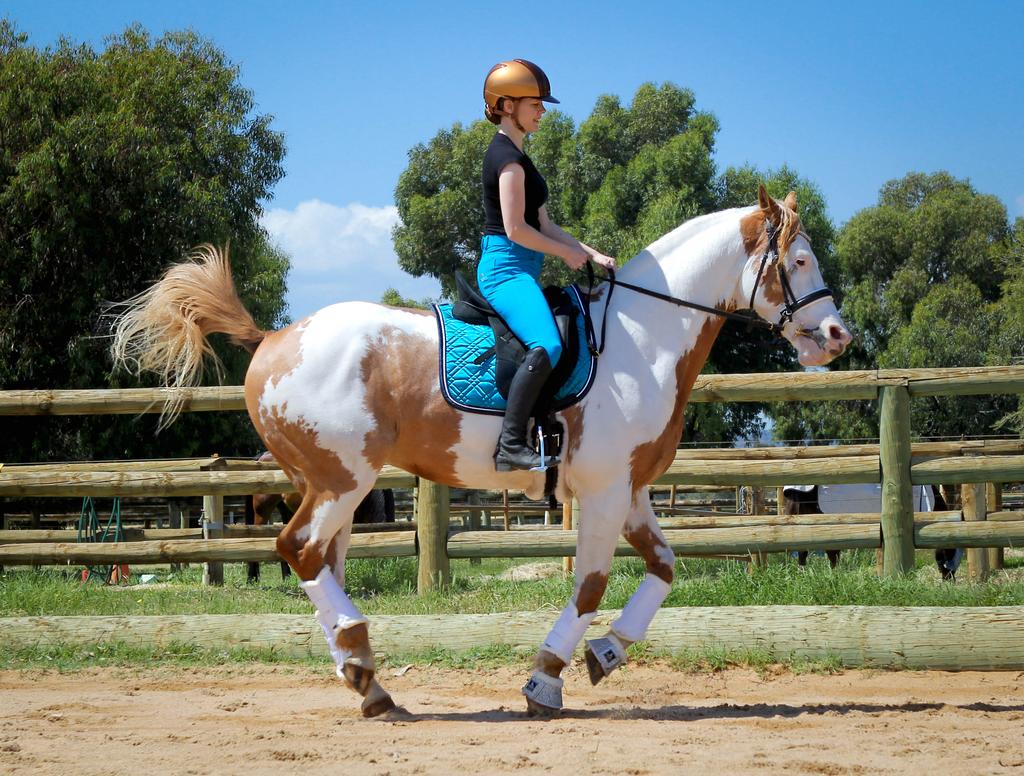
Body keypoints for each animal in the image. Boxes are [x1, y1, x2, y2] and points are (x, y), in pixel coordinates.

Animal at [112, 187, 851, 716]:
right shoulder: (605, 491)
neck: (642, 336)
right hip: (339, 481)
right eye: (800, 261)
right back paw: (362, 668)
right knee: (299, 550)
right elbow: (589, 585)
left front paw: (607, 654)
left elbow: (663, 571)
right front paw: (547, 680)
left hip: (337, 488)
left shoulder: (631, 490)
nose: (838, 335)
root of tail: (272, 338)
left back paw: (362, 674)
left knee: (321, 561)